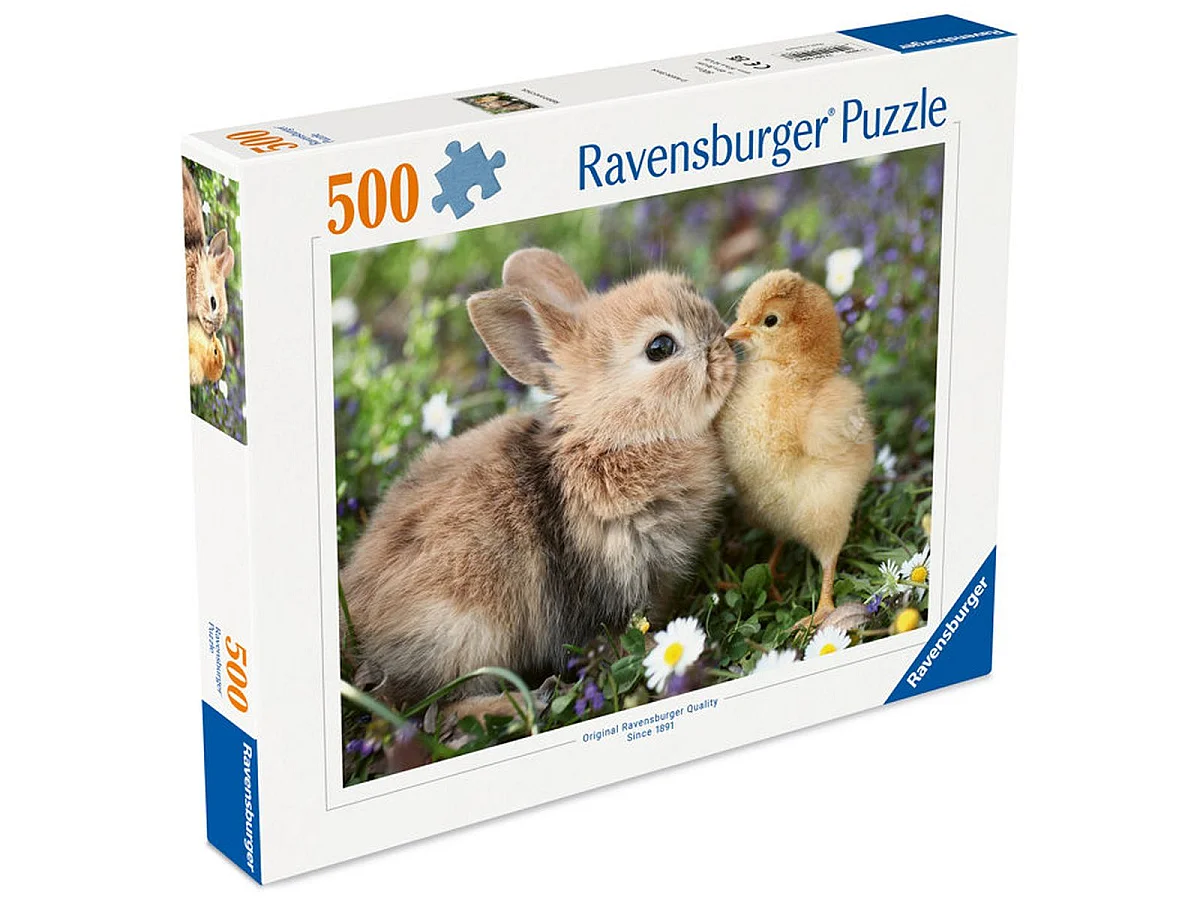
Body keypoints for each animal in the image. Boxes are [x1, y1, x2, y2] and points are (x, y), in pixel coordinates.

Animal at [340, 248, 737, 720]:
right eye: (660, 348)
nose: (726, 344)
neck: (612, 435)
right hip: (465, 631)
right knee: (437, 709)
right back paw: (527, 701)